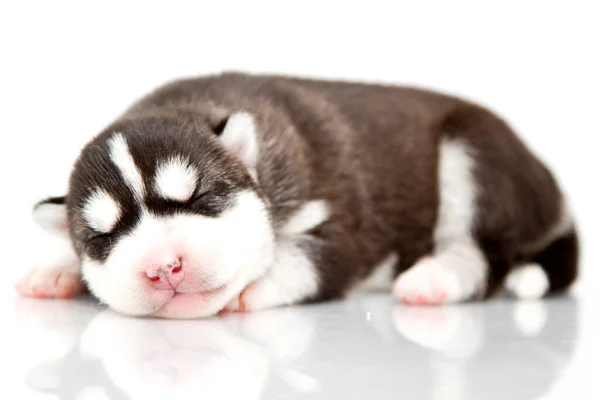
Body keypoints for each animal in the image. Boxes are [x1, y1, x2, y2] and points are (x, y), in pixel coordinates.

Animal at [16, 71, 580, 316]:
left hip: (479, 157)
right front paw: (58, 269)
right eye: (102, 237)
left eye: (200, 198)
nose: (163, 266)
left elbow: (307, 258)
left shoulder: (343, 226)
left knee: (484, 254)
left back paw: (435, 278)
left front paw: (254, 286)